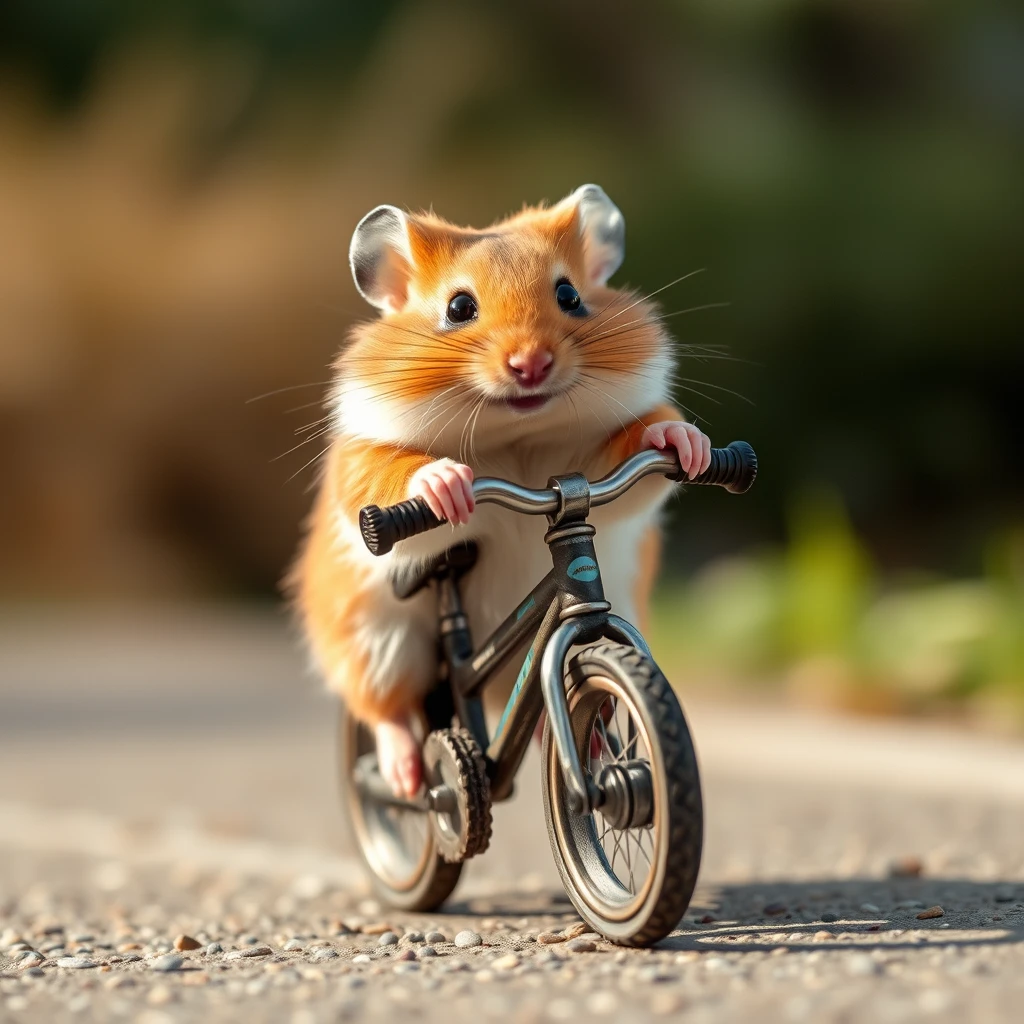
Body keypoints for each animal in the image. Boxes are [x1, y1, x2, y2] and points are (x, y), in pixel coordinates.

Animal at [288, 186, 712, 798]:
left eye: (570, 295)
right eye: (459, 308)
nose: (531, 364)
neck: (514, 436)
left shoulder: (590, 474)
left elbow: (644, 447)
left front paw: (690, 445)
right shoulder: (359, 465)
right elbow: (390, 476)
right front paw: (445, 483)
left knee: (551, 718)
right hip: (376, 639)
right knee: (388, 714)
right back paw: (407, 777)